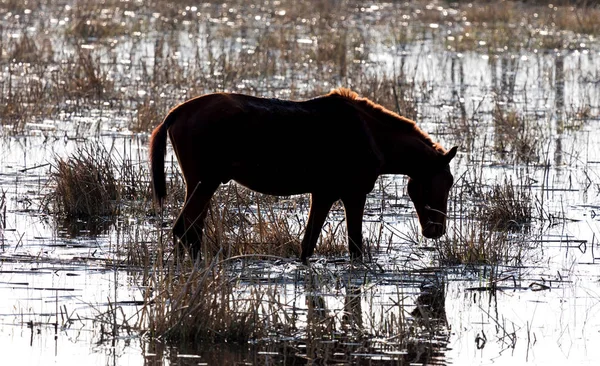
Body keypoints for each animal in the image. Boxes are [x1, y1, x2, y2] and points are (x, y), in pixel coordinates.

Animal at [149, 88, 454, 264]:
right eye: (444, 183)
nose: (436, 229)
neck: (374, 138)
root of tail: (175, 113)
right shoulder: (354, 194)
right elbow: (355, 247)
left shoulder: (323, 194)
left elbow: (308, 245)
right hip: (205, 183)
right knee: (184, 231)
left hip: (202, 185)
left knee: (191, 232)